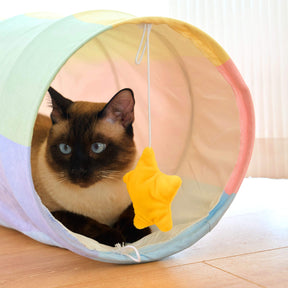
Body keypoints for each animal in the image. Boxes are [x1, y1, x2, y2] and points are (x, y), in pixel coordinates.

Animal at [31, 86, 151, 246]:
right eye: (65, 148)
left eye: (97, 147)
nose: (78, 171)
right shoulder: (51, 213)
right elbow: (83, 221)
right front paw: (118, 239)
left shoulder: (130, 199)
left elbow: (131, 212)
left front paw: (137, 235)